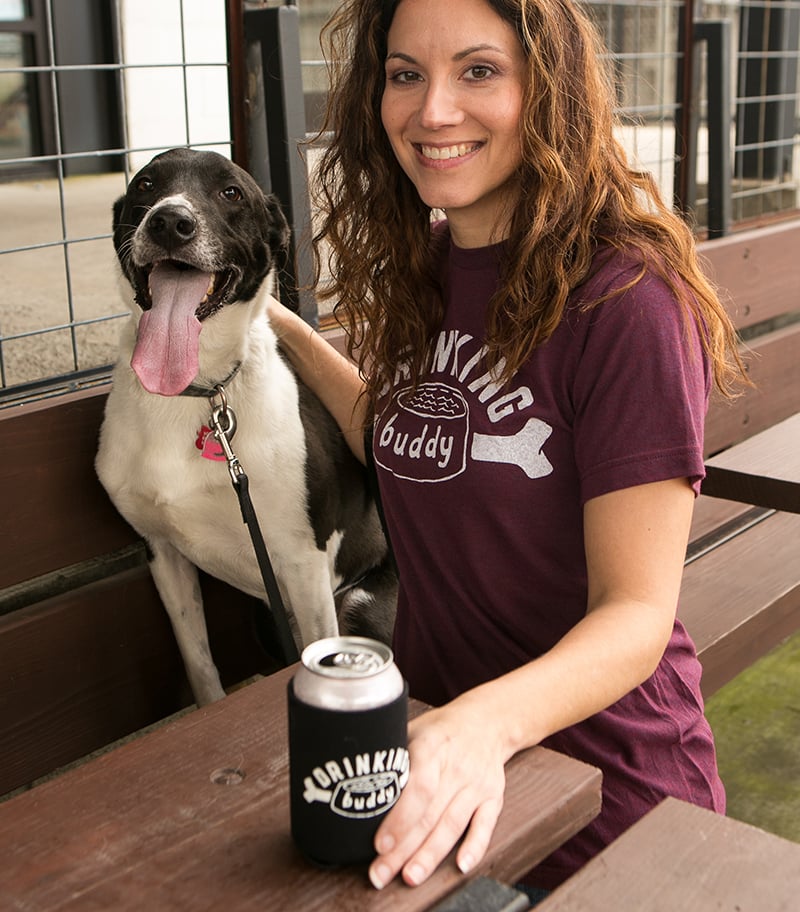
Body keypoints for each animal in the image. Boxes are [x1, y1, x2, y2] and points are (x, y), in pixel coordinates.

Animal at [97, 148, 396, 704]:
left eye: (230, 192)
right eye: (145, 184)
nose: (170, 221)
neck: (198, 392)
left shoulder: (304, 563)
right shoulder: (163, 554)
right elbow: (199, 662)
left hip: (358, 604)